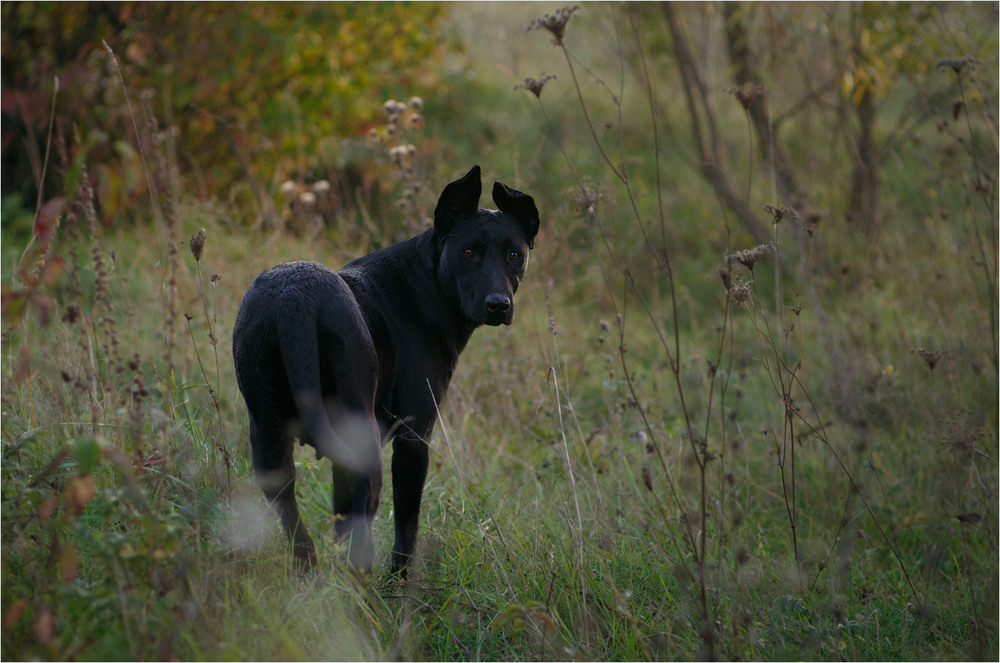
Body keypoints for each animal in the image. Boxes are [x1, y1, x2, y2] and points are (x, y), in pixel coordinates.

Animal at [231, 166, 540, 576]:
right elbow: (406, 524)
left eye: (514, 254)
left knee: (296, 523)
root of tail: (293, 300)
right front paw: (399, 581)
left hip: (268, 438)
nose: (498, 305)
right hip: (363, 443)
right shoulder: (414, 438)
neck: (427, 282)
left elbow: (341, 515)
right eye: (469, 252)